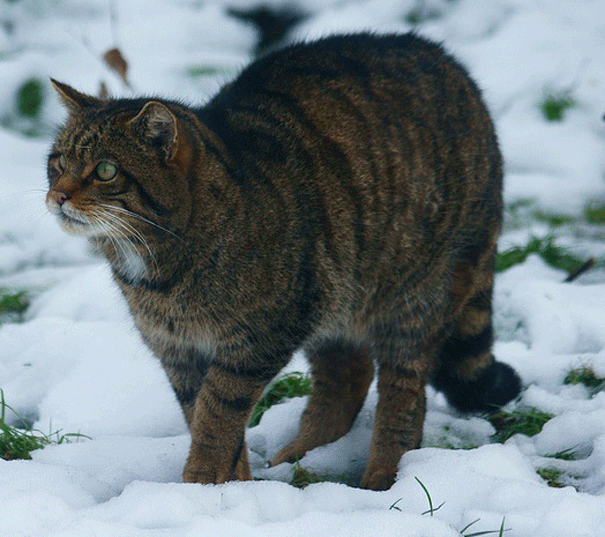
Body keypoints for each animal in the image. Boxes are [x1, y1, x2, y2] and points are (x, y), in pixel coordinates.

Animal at [46, 31, 520, 488]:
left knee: (404, 391)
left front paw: (200, 483)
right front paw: (230, 486)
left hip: (411, 294)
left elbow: (216, 415)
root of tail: (454, 67)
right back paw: (304, 453)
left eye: (105, 171)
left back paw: (385, 477)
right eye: (59, 161)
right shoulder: (179, 352)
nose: (58, 196)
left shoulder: (257, 339)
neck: (156, 267)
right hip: (337, 294)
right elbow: (202, 415)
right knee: (349, 375)